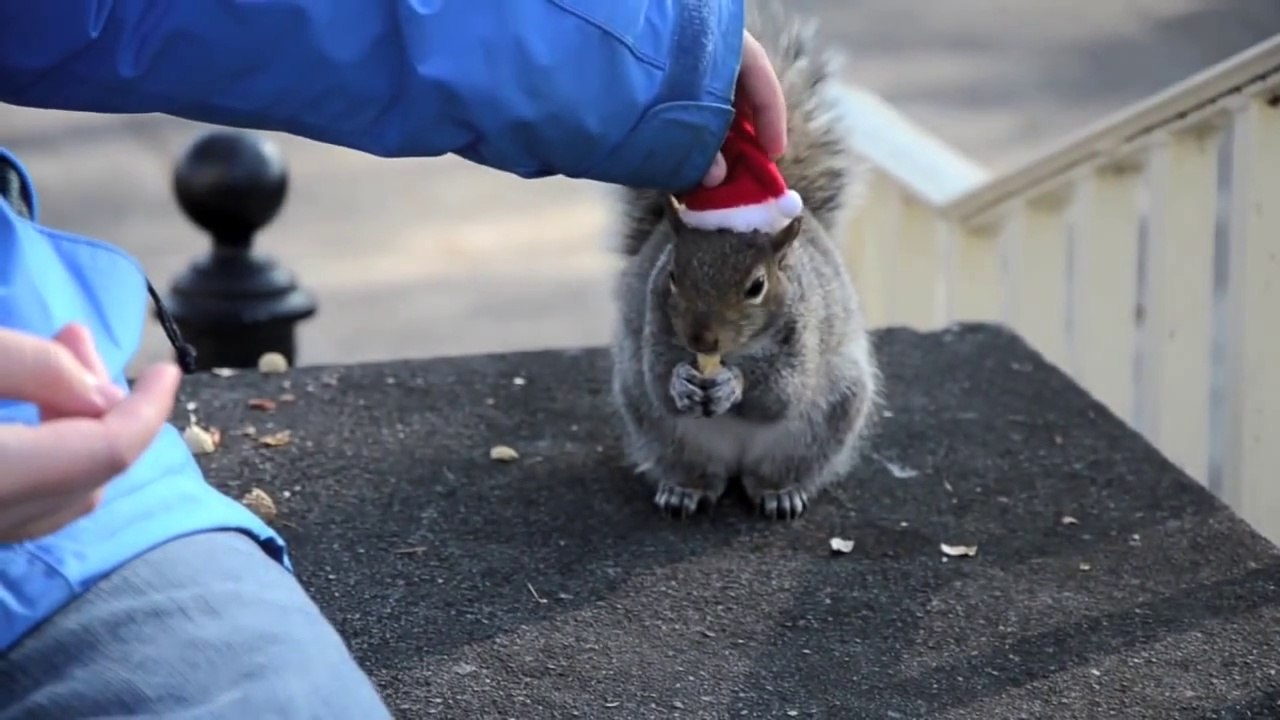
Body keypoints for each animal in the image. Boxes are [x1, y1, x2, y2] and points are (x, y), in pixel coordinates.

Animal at [608, 2, 881, 522]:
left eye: (757, 286)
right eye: (672, 275)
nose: (701, 339)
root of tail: (736, 465)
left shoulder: (802, 338)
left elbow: (779, 393)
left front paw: (733, 385)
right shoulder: (655, 327)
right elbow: (659, 375)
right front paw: (681, 382)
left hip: (828, 416)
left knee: (774, 470)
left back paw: (780, 491)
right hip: (659, 427)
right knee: (697, 467)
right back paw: (686, 488)